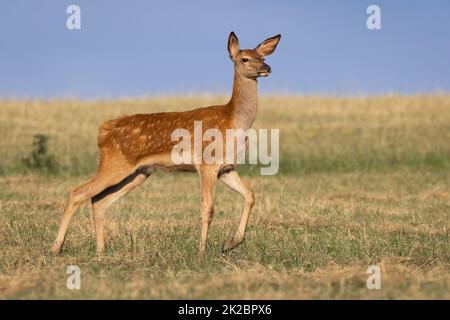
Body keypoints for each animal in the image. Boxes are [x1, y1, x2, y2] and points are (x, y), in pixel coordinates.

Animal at [51, 31, 280, 256]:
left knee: (98, 201)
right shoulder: (206, 164)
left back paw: (100, 252)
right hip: (114, 163)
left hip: (139, 173)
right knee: (77, 193)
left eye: (263, 57)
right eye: (245, 59)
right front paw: (202, 252)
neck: (234, 121)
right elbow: (208, 208)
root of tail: (104, 130)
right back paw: (57, 247)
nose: (266, 68)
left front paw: (231, 243)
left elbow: (250, 195)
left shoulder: (226, 167)